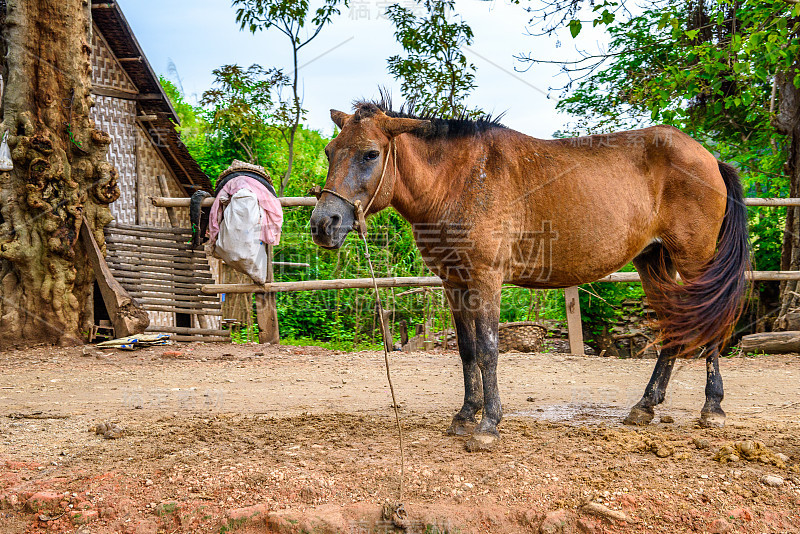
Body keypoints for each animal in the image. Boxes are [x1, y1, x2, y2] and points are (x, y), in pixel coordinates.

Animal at [310, 99, 748, 452]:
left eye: (370, 153)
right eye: (330, 151)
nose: (323, 224)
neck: (458, 180)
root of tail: (710, 158)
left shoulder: (486, 279)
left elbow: (488, 350)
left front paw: (488, 426)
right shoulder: (454, 282)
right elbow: (467, 350)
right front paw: (465, 415)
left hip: (694, 260)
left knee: (709, 322)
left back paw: (712, 407)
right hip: (653, 260)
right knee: (674, 323)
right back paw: (645, 405)